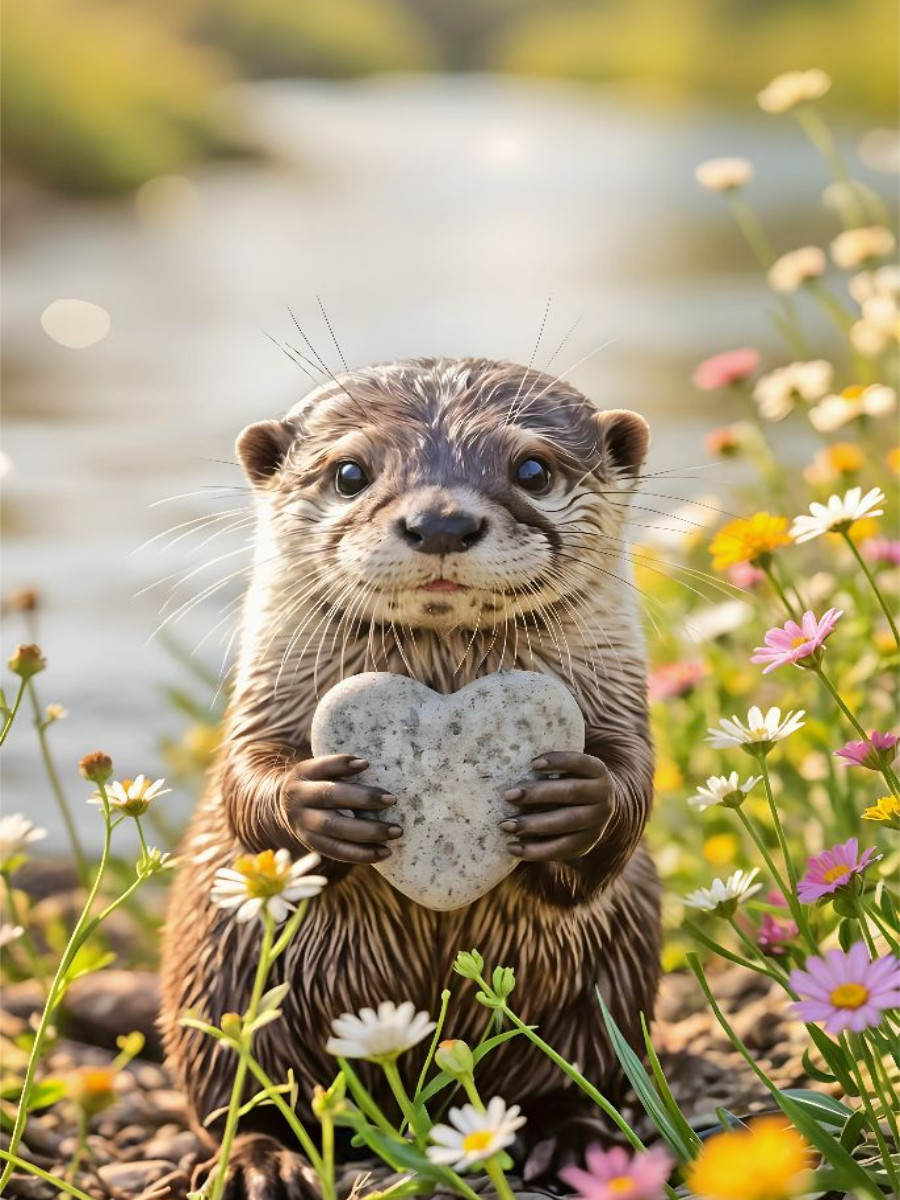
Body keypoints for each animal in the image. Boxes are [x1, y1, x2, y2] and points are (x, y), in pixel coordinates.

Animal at [160, 357, 661, 1198]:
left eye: (533, 469)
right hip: (219, 984)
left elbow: (636, 787)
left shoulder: (622, 705)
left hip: (611, 984)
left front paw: (576, 805)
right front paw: (317, 804)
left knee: (577, 1076)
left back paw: (573, 1141)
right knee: (240, 1098)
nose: (442, 523)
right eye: (350, 473)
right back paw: (265, 1163)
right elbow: (243, 783)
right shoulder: (261, 702)